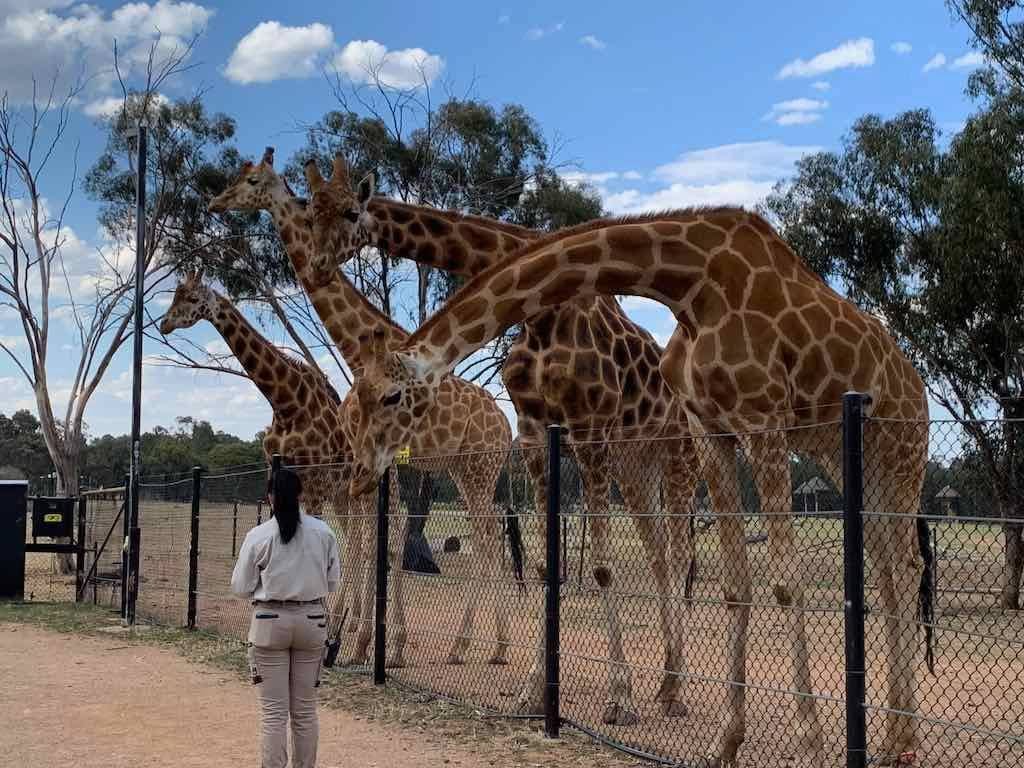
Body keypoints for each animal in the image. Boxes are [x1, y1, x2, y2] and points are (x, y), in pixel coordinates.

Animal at [157, 270, 366, 618]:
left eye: (191, 297)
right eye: (174, 295)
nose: (164, 323)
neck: (287, 404)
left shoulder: (316, 480)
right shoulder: (276, 471)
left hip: (351, 490)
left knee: (361, 544)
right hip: (341, 494)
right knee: (355, 544)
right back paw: (347, 620)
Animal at [206, 148, 516, 667]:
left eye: (251, 180)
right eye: (312, 210)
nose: (215, 202)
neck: (358, 346)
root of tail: (506, 427)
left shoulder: (369, 459)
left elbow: (367, 543)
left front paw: (357, 643)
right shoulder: (372, 462)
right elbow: (372, 541)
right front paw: (368, 642)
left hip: (479, 467)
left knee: (489, 542)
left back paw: (475, 645)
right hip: (461, 469)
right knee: (486, 540)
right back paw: (482, 645)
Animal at [303, 157, 700, 729]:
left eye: (351, 211)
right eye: (310, 210)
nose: (314, 265)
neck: (544, 314)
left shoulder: (590, 427)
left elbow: (600, 567)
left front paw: (619, 699)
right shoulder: (536, 433)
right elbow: (544, 567)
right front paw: (534, 693)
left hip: (678, 453)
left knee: (680, 549)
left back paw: (676, 688)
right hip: (635, 462)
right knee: (660, 555)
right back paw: (666, 686)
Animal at [342, 208, 929, 768]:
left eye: (392, 396)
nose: (360, 471)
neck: (690, 283)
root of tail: (917, 385)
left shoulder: (759, 420)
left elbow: (784, 583)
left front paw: (810, 743)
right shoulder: (711, 430)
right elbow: (734, 586)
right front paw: (725, 743)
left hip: (899, 450)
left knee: (905, 565)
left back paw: (897, 736)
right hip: (840, 456)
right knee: (887, 569)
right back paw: (895, 737)